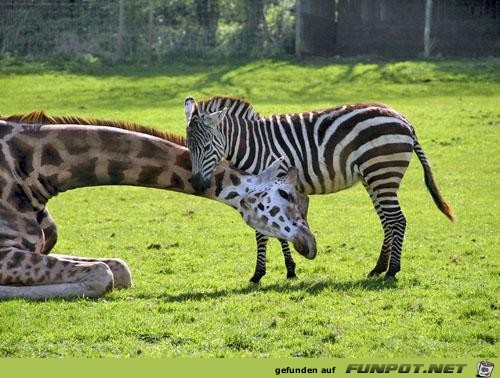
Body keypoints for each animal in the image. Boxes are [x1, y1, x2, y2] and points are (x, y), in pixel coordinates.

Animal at [0, 110, 316, 300]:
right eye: (287, 195)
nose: (311, 243)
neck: (31, 173)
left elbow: (119, 268)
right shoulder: (5, 251)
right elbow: (102, 273)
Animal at [184, 96, 454, 280]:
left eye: (206, 147)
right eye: (188, 145)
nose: (197, 184)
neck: (253, 146)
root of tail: (402, 119)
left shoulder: (273, 184)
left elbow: (265, 232)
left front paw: (260, 274)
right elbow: (275, 230)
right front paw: (289, 269)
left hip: (382, 171)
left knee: (397, 220)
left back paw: (392, 271)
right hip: (373, 177)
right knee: (388, 221)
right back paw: (378, 268)